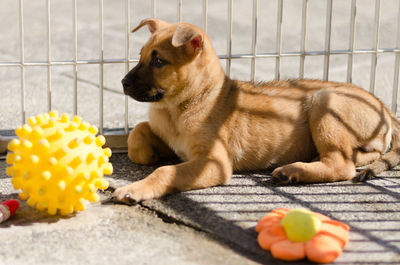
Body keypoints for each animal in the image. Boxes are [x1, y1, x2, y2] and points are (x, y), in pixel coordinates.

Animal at [111, 18, 400, 203]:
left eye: (159, 61)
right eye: (140, 55)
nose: (123, 83)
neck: (181, 106)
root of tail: (384, 107)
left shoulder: (215, 163)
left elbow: (167, 171)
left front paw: (135, 189)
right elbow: (138, 133)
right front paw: (149, 154)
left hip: (324, 102)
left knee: (342, 165)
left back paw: (292, 171)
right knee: (360, 155)